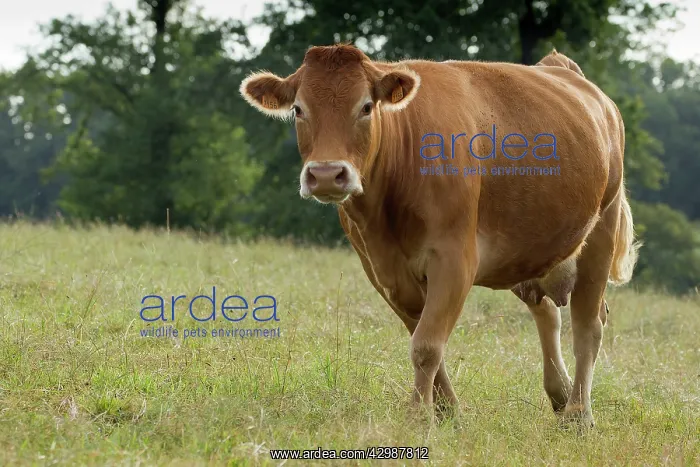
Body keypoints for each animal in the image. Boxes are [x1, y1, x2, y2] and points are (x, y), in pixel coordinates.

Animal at [240, 44, 640, 428]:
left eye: (366, 106)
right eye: (298, 109)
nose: (326, 174)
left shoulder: (454, 260)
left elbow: (427, 345)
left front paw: (419, 417)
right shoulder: (382, 271)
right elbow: (426, 340)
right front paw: (448, 413)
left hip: (601, 231)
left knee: (588, 326)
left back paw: (578, 414)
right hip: (531, 249)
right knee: (547, 313)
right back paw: (560, 395)